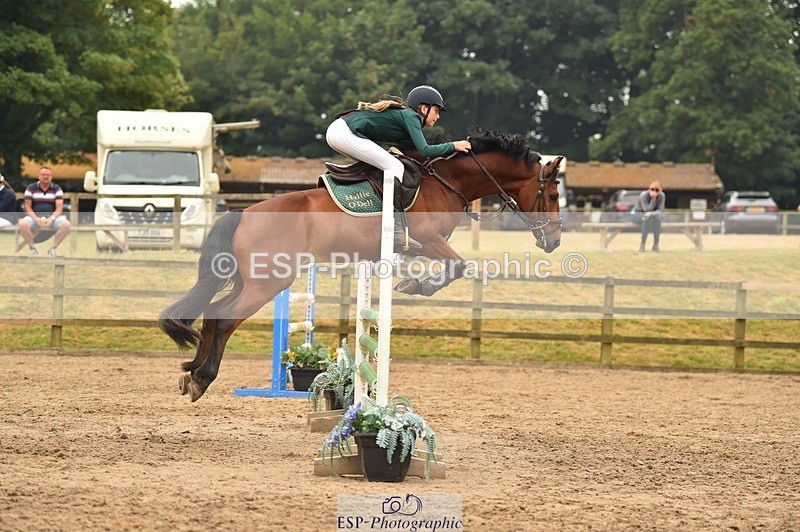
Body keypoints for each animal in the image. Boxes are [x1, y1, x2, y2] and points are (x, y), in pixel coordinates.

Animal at [159, 129, 564, 402]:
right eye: (552, 194)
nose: (554, 241)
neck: (447, 180)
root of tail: (242, 213)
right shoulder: (430, 241)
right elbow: (459, 267)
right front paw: (416, 286)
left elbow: (453, 268)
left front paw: (414, 284)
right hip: (268, 282)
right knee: (226, 318)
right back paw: (203, 377)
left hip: (252, 280)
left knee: (214, 312)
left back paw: (191, 373)